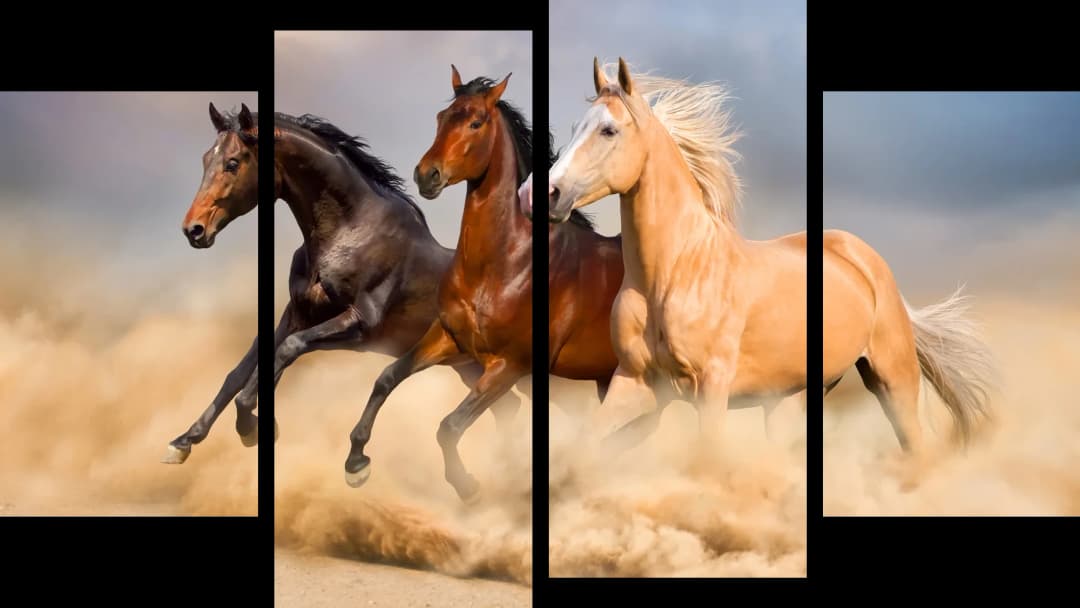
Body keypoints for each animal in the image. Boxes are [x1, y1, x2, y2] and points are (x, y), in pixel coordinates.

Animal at [165, 103, 521, 464]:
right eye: (206, 159)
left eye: (233, 162)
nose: (193, 229)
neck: (348, 232)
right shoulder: (298, 314)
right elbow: (241, 371)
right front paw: (183, 441)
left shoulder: (359, 324)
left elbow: (287, 351)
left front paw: (252, 428)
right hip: (470, 368)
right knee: (508, 406)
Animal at [343, 67, 621, 501]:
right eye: (441, 118)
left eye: (476, 122)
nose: (427, 175)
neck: (504, 267)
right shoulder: (449, 338)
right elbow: (387, 378)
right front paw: (356, 463)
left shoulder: (509, 366)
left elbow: (449, 426)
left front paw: (467, 485)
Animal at [548, 58, 811, 455]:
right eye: (576, 126)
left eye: (609, 130)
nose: (547, 192)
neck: (675, 271)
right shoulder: (635, 379)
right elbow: (587, 443)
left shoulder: (712, 388)